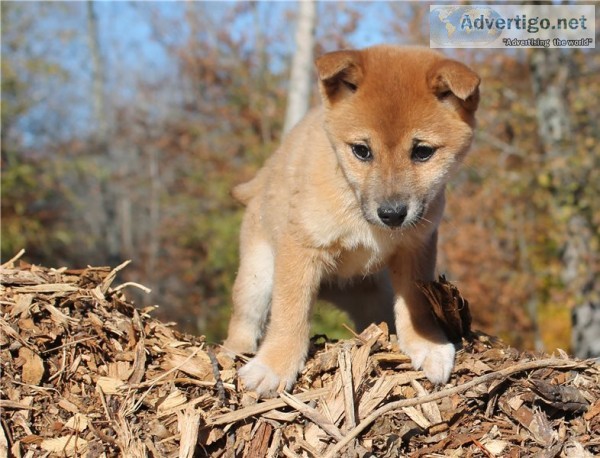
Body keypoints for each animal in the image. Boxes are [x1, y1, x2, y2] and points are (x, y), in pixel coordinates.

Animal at [223, 46, 480, 398]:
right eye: (361, 150)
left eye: (423, 152)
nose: (392, 214)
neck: (360, 215)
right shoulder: (300, 249)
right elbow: (290, 312)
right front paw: (275, 367)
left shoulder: (415, 248)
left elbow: (416, 304)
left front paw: (426, 344)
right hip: (257, 277)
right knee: (243, 322)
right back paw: (233, 354)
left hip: (374, 297)